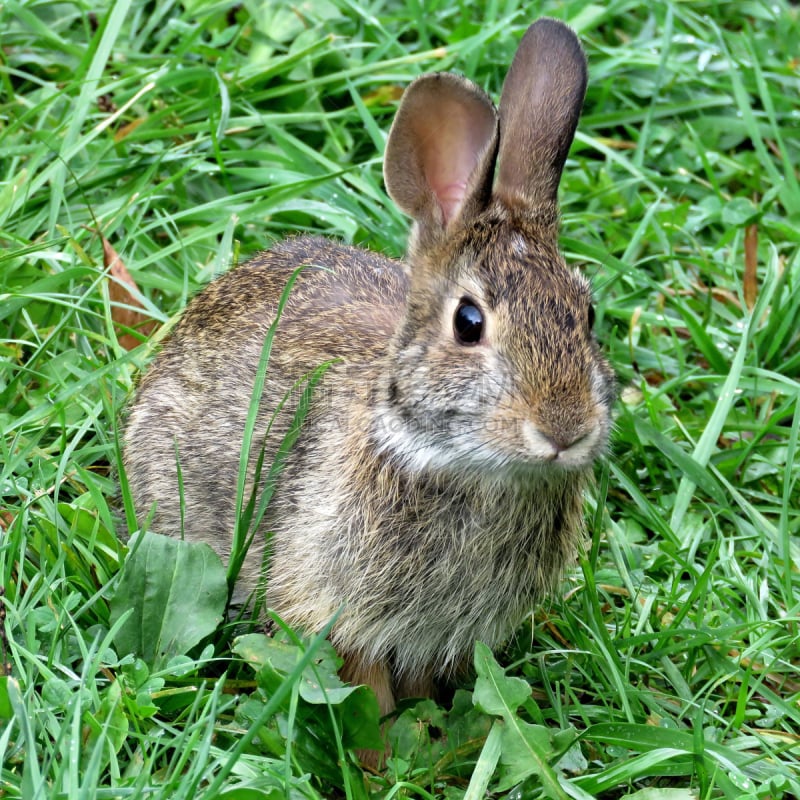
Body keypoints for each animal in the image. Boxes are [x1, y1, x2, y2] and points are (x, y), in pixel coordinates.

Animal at [122, 17, 616, 720]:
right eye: (469, 323)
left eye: (588, 313)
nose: (565, 431)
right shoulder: (336, 612)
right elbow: (370, 692)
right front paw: (381, 745)